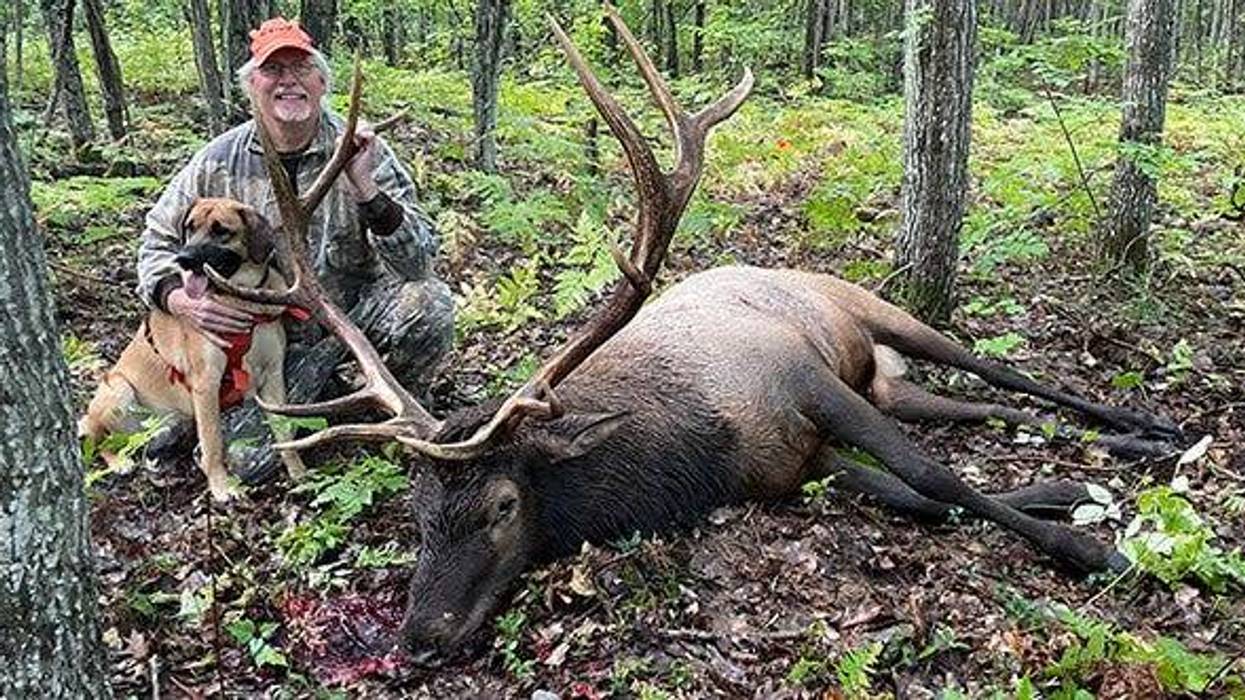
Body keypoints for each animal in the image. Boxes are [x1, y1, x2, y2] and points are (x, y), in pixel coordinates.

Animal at [209, 8, 1183, 661]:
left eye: (502, 505)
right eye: (414, 513)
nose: (420, 634)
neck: (695, 452)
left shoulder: (800, 381)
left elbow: (932, 477)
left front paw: (1094, 549)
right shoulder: (793, 461)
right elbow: (917, 497)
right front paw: (1064, 494)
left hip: (882, 316)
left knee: (1011, 380)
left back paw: (1153, 426)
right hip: (890, 381)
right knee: (981, 412)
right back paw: (1110, 451)